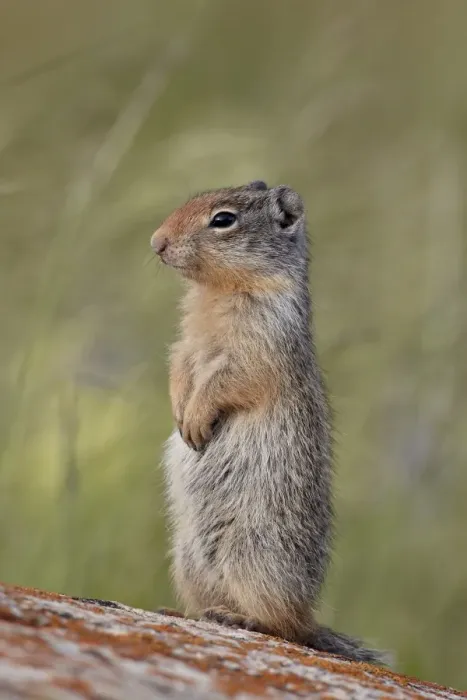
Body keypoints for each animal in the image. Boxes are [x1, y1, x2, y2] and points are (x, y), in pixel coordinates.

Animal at [150, 180, 386, 665]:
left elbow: (231, 378)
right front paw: (180, 412)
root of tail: (309, 614)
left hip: (254, 556)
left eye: (223, 219)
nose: (156, 242)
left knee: (285, 628)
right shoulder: (186, 342)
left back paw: (245, 620)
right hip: (188, 560)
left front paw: (195, 421)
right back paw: (189, 613)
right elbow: (180, 364)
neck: (216, 291)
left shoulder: (261, 342)